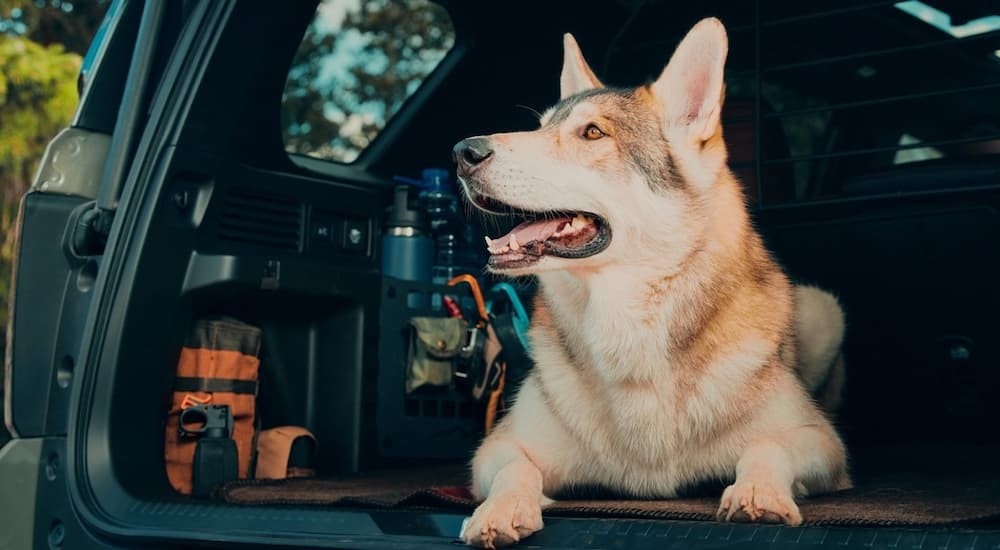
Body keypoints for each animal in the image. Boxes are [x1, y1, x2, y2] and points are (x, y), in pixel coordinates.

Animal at [454, 18, 852, 550]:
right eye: (541, 128)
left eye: (592, 133)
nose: (463, 152)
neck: (628, 323)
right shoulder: (497, 448)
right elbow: (514, 470)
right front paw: (501, 510)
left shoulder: (824, 443)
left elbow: (767, 446)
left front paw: (758, 493)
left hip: (825, 309)